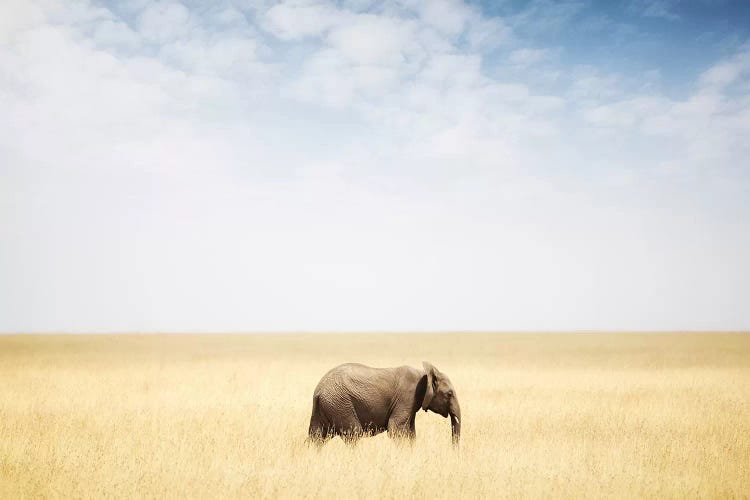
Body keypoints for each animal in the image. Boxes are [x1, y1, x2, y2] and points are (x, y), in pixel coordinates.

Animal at [306, 360, 462, 446]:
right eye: (449, 394)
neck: (424, 374)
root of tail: (318, 391)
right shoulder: (406, 397)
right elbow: (395, 429)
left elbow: (411, 433)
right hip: (340, 403)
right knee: (354, 435)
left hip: (327, 406)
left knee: (316, 438)